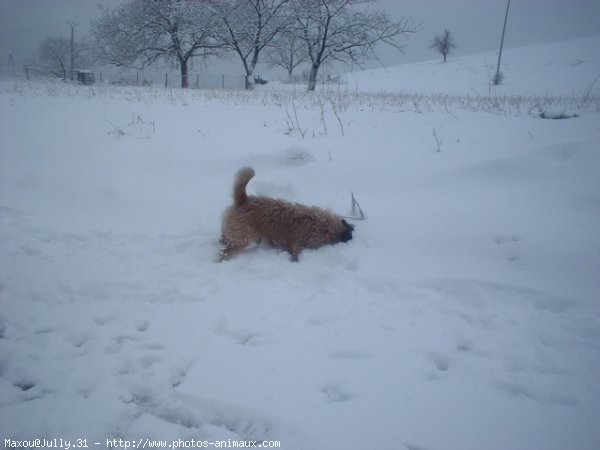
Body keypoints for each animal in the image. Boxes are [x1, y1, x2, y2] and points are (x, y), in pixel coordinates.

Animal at [219, 168, 352, 260]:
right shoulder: (299, 245)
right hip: (242, 239)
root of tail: (243, 200)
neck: (321, 225)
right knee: (225, 253)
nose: (350, 236)